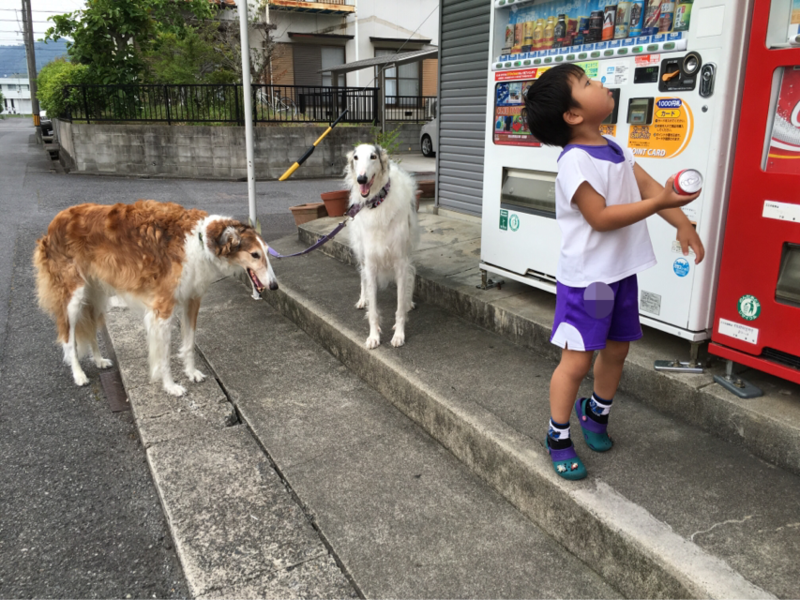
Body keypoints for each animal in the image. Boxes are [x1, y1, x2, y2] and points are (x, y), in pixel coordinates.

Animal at [33, 200, 278, 396]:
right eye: (255, 255)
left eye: (267, 252)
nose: (274, 286)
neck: (199, 241)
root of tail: (54, 222)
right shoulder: (163, 309)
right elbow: (164, 354)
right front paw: (170, 386)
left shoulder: (191, 300)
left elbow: (189, 343)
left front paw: (192, 373)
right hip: (73, 298)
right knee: (67, 338)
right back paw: (78, 374)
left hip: (95, 295)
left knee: (91, 328)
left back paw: (99, 360)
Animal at [345, 144, 420, 349]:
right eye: (355, 157)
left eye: (373, 156)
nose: (361, 179)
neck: (377, 203)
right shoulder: (371, 262)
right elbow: (373, 309)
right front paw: (373, 336)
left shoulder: (401, 261)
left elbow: (400, 306)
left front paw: (399, 335)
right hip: (361, 252)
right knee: (362, 277)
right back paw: (362, 299)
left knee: (412, 274)